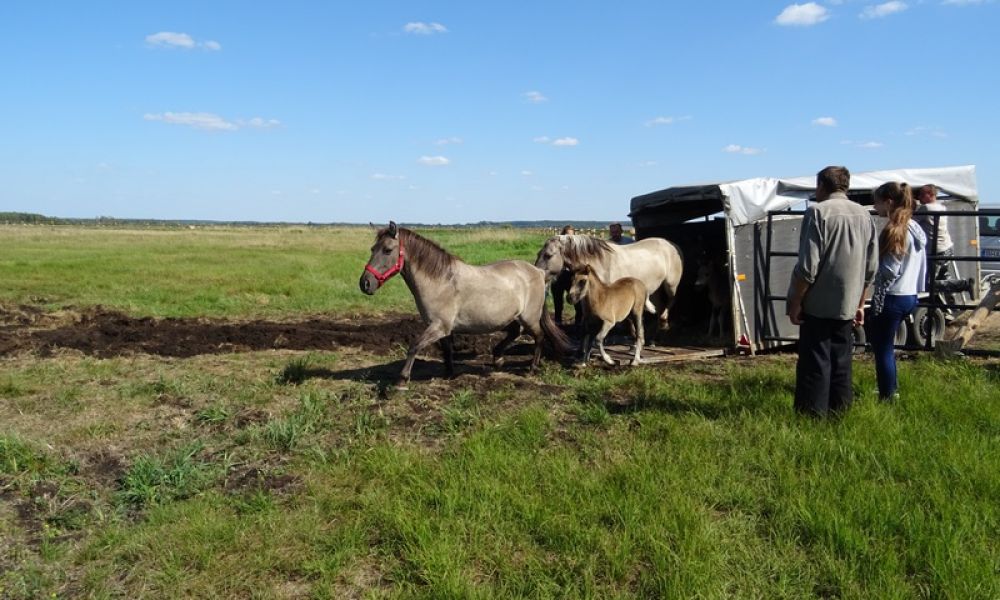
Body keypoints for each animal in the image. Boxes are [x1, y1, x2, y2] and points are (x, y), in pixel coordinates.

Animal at [362, 221, 572, 384]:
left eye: (387, 250)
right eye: (372, 249)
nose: (364, 284)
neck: (441, 281)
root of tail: (539, 272)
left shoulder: (439, 326)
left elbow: (414, 346)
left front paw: (402, 380)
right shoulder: (443, 329)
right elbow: (447, 351)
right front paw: (449, 374)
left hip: (529, 318)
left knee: (539, 336)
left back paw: (532, 368)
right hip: (511, 318)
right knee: (515, 333)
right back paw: (498, 358)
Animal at [536, 233, 684, 340]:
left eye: (548, 255)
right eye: (538, 254)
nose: (536, 274)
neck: (600, 264)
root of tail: (672, 245)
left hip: (670, 285)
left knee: (672, 300)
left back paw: (664, 323)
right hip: (656, 289)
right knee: (659, 306)